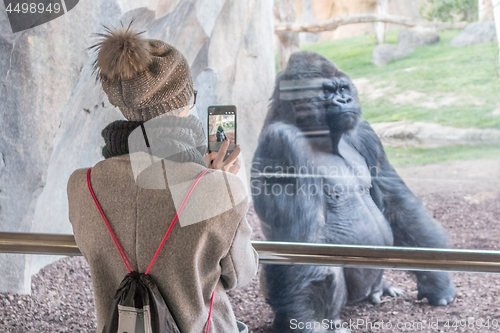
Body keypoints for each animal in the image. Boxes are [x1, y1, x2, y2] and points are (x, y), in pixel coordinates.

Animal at [252, 52, 456, 332]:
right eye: (327, 92)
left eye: (343, 89)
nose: (345, 100)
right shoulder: (281, 142)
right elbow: (305, 243)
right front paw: (307, 323)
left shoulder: (366, 133)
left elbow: (398, 205)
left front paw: (437, 281)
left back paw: (382, 288)